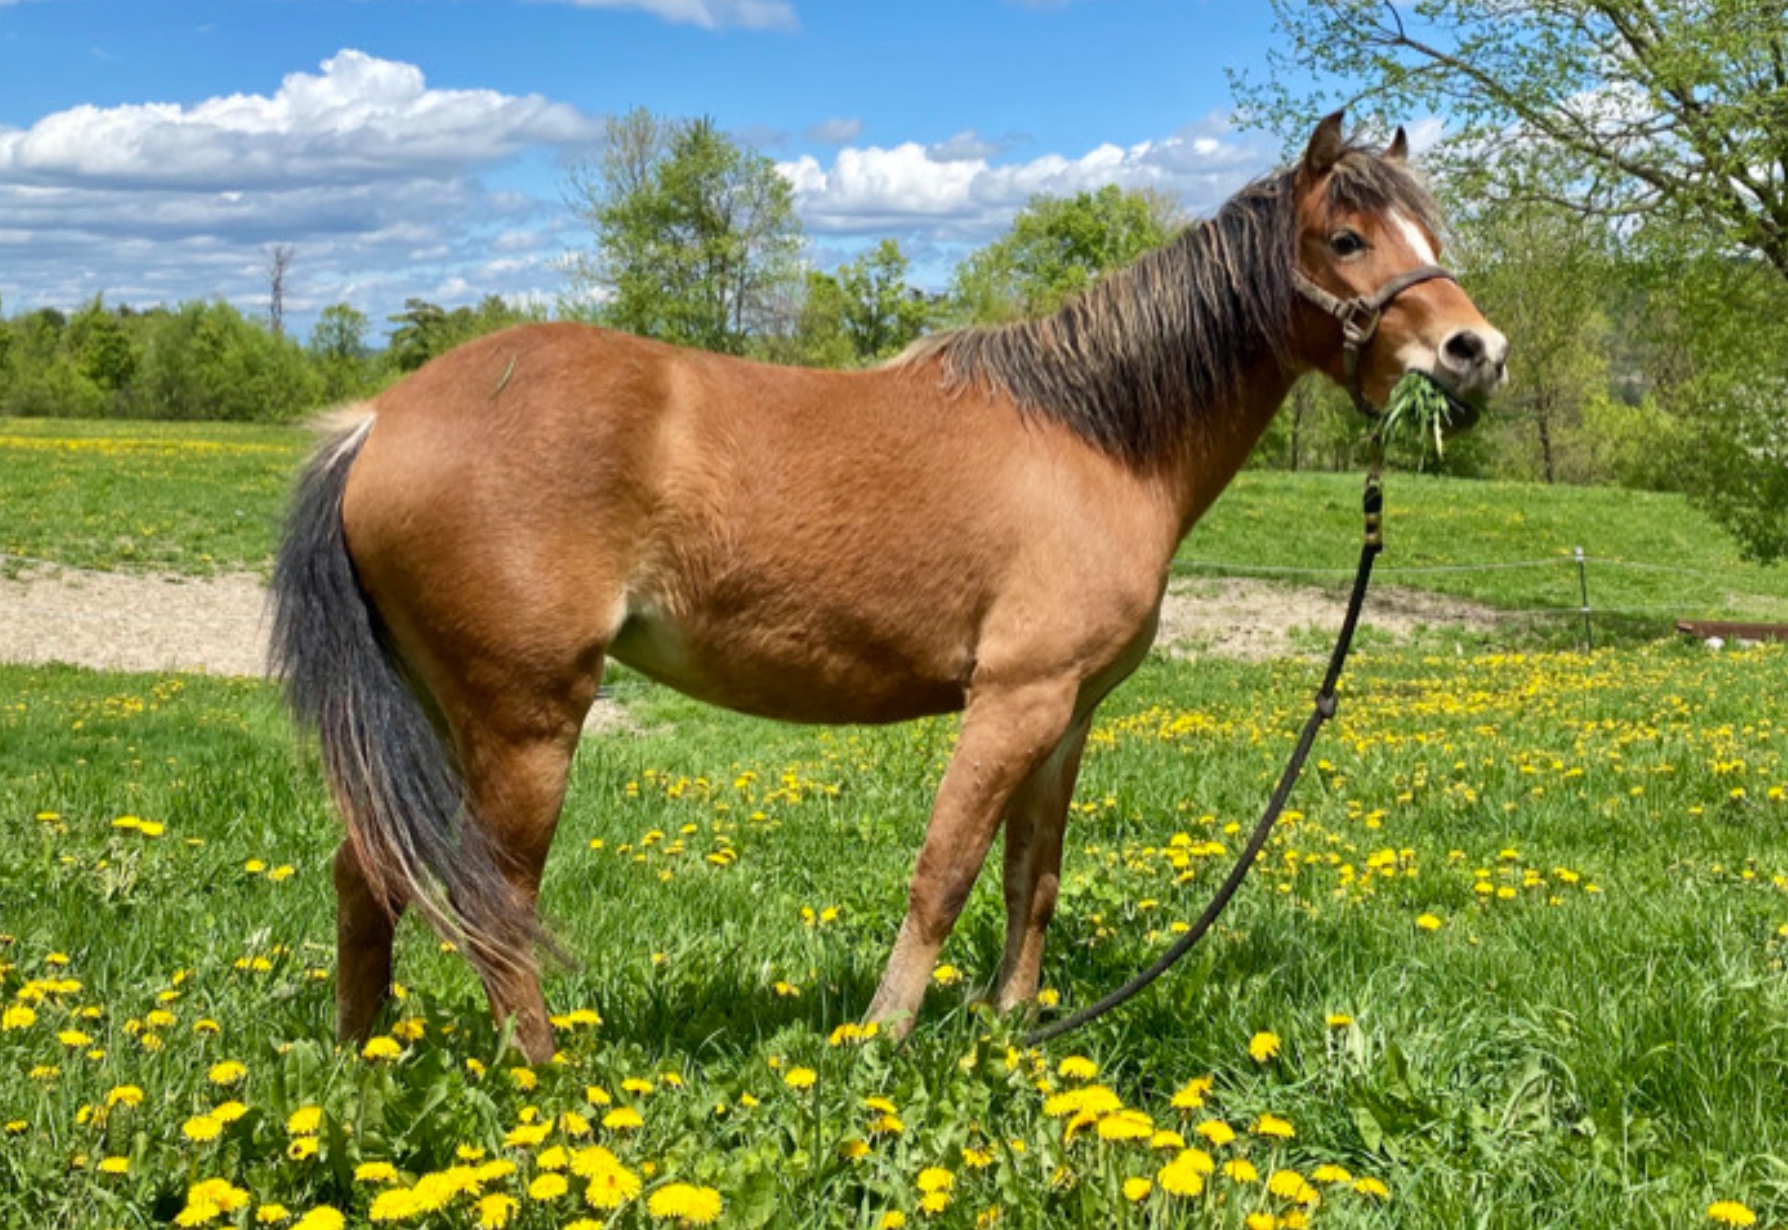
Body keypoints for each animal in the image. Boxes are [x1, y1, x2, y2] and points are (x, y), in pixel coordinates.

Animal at [271, 112, 1508, 1063]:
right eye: (1346, 237)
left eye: (1430, 232)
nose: (1474, 352)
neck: (1095, 440)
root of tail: (379, 421)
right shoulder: (1011, 700)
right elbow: (943, 873)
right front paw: (883, 1040)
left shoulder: (1067, 715)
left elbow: (1030, 878)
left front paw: (1008, 1034)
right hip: (525, 719)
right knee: (495, 900)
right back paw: (544, 1075)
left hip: (436, 714)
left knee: (369, 875)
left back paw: (361, 1063)